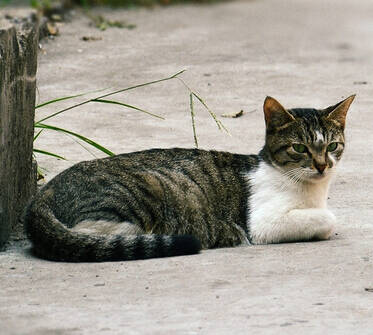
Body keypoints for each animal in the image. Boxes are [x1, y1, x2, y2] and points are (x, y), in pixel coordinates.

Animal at [24, 94, 354, 262]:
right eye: (300, 148)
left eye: (332, 146)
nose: (322, 166)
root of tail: (43, 194)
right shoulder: (264, 224)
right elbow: (328, 219)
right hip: (142, 190)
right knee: (94, 234)